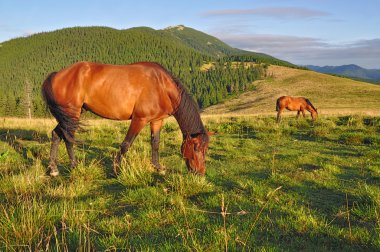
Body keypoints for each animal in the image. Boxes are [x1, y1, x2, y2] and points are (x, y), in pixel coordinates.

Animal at [43, 61, 214, 176]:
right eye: (196, 148)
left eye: (206, 149)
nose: (200, 173)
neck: (161, 85)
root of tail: (57, 74)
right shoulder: (139, 119)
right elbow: (126, 144)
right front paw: (117, 169)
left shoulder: (157, 120)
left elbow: (155, 143)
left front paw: (157, 167)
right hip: (72, 113)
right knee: (68, 137)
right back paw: (73, 165)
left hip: (68, 117)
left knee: (57, 135)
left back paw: (53, 168)